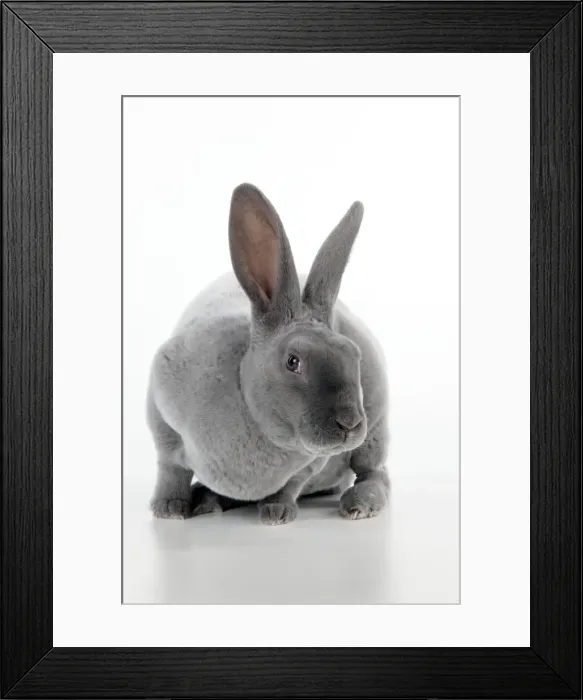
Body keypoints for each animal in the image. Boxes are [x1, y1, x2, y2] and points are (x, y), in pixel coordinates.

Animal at [147, 183, 389, 525]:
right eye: (293, 361)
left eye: (354, 355)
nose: (351, 422)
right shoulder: (160, 408)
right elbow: (170, 468)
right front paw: (168, 509)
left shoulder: (312, 462)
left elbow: (292, 483)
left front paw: (277, 512)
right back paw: (206, 499)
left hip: (376, 434)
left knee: (375, 474)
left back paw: (358, 504)